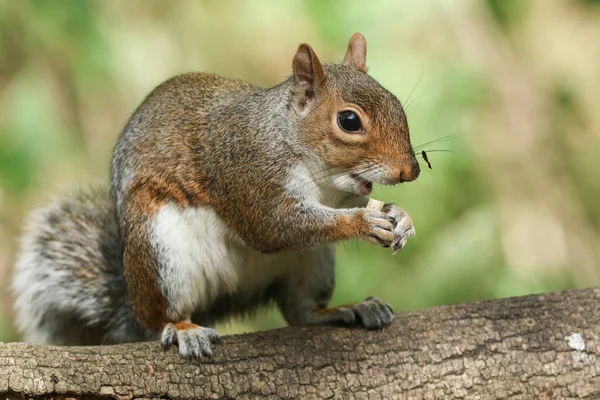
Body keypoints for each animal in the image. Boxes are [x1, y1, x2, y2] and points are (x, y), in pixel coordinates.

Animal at [11, 33, 420, 360]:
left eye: (397, 104)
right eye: (349, 121)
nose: (410, 171)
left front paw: (400, 216)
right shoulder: (246, 174)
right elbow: (272, 227)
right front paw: (363, 221)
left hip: (313, 263)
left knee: (300, 312)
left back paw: (346, 309)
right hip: (161, 251)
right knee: (159, 318)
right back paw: (181, 330)